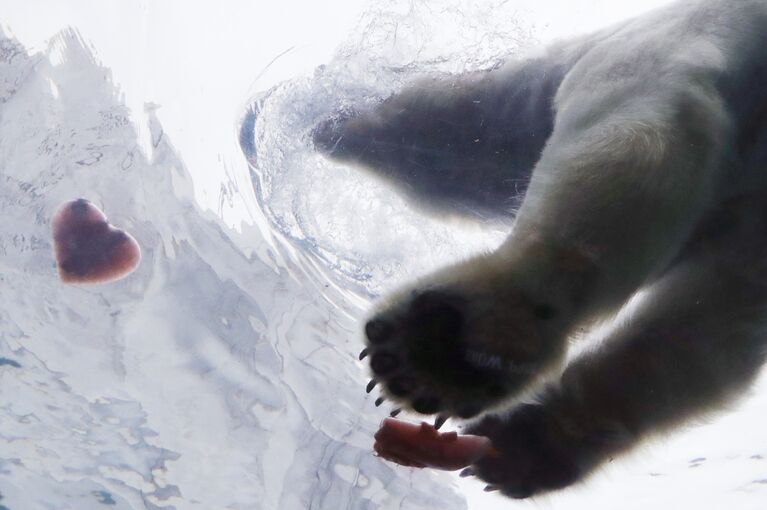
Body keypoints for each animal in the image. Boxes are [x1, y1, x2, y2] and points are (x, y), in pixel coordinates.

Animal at [314, 0, 767, 500]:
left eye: (397, 101)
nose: (330, 127)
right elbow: (710, 325)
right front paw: (528, 442)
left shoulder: (675, 43)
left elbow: (644, 141)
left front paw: (448, 353)